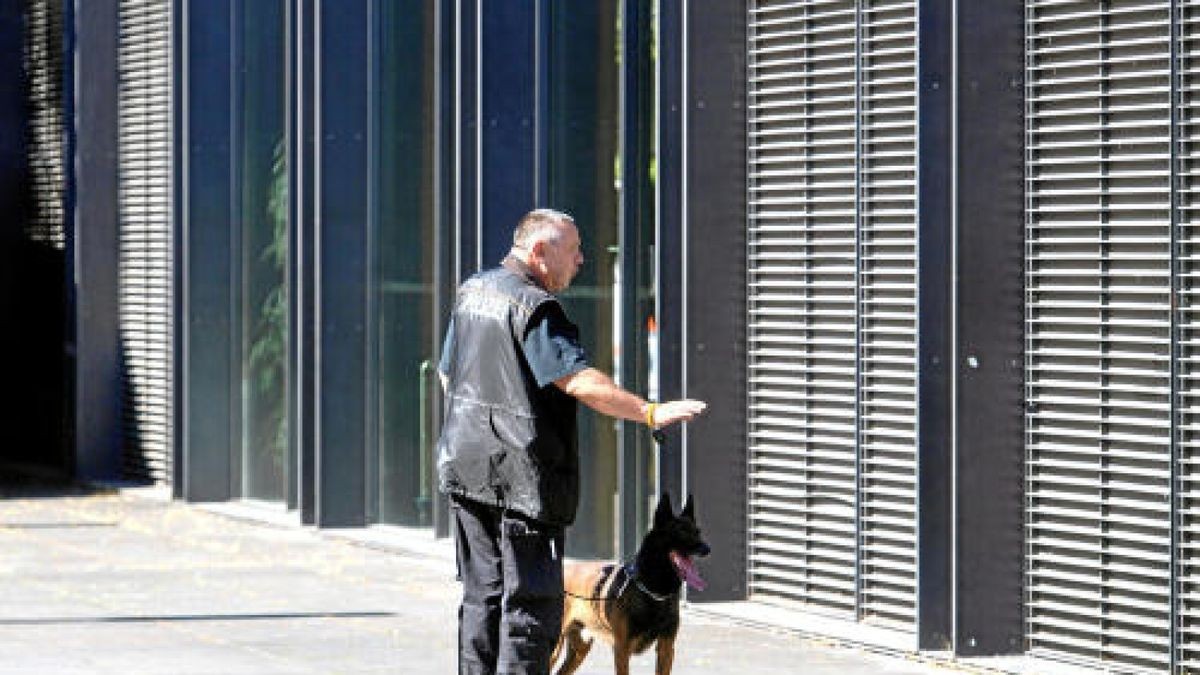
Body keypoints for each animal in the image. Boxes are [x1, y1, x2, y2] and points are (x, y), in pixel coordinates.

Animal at [554, 487, 710, 672]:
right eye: (681, 532)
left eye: (698, 532)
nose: (707, 549)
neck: (654, 591)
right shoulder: (622, 650)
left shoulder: (666, 648)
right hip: (555, 647)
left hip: (580, 650)